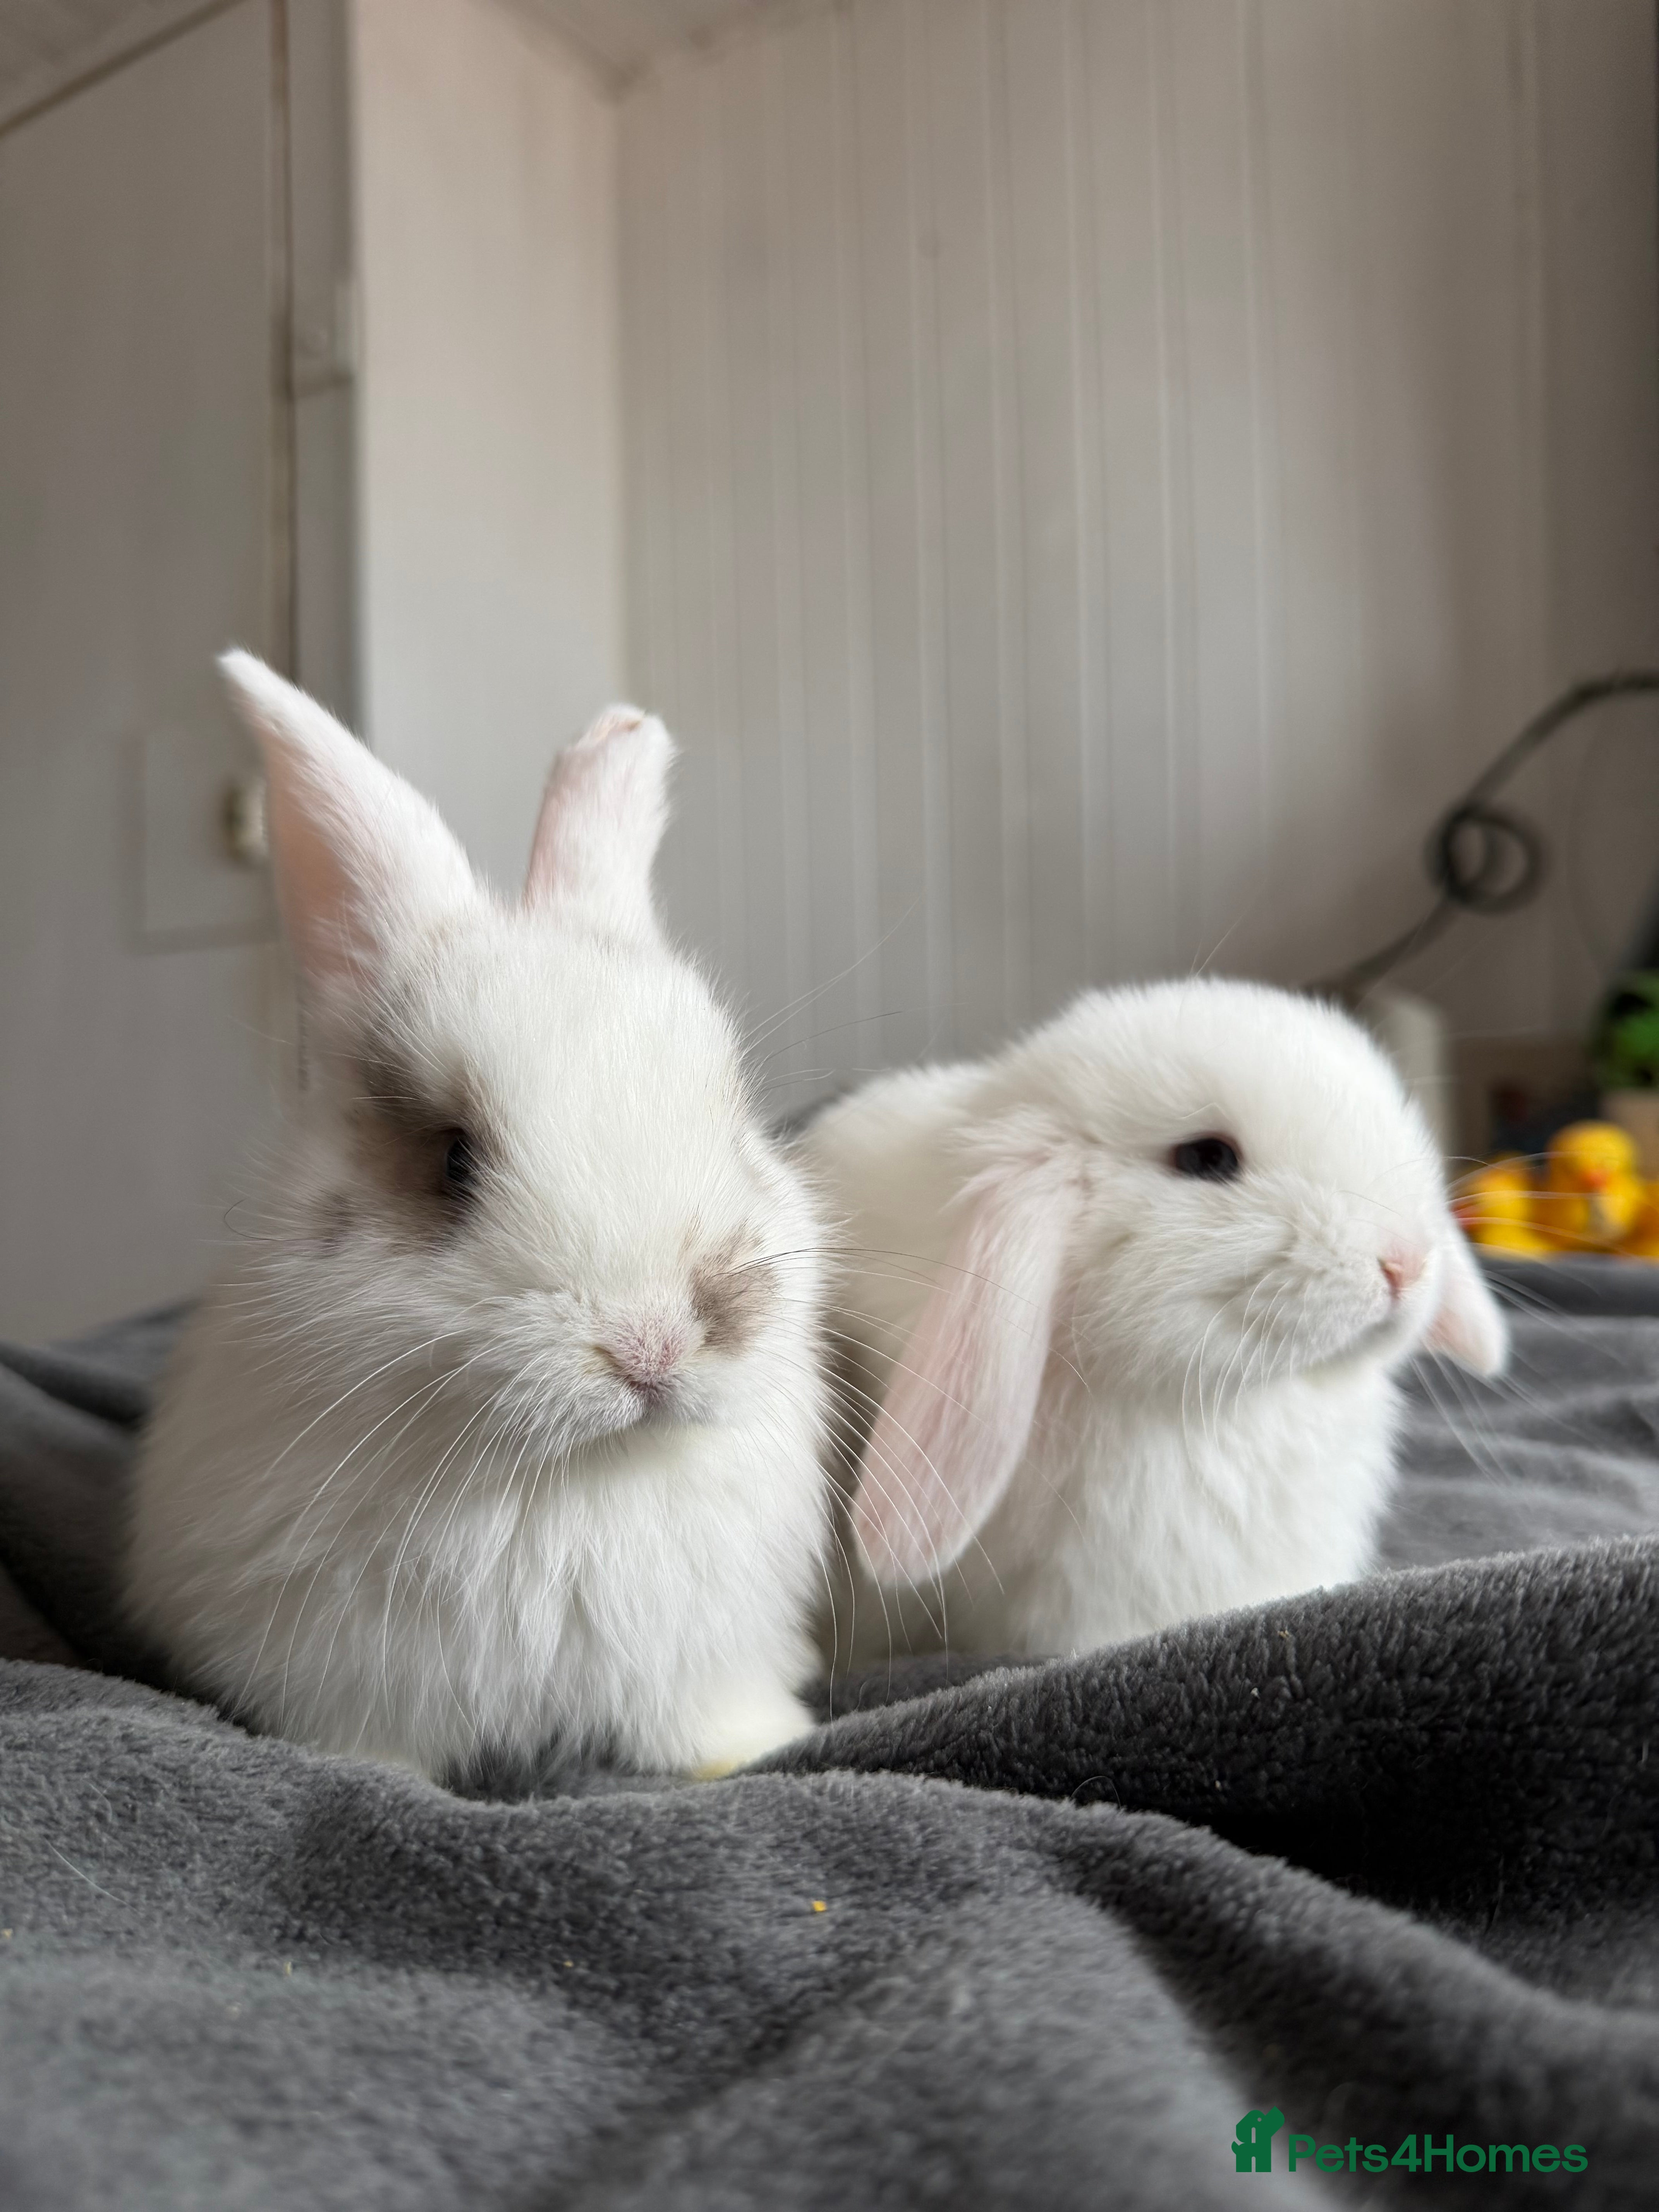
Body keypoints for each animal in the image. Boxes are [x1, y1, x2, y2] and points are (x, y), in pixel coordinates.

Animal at [126, 653, 831, 1783]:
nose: (651, 1346)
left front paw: (754, 1754)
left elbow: (710, 1722)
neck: (565, 1482)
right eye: (454, 1161)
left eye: (734, 1126)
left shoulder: (707, 1659)